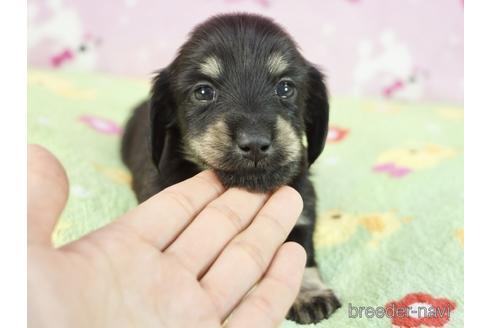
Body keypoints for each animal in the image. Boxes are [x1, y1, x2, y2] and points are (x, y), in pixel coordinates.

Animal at [121, 14, 340, 324]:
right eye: (203, 91)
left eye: (285, 88)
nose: (255, 143)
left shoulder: (303, 213)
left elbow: (300, 252)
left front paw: (309, 294)